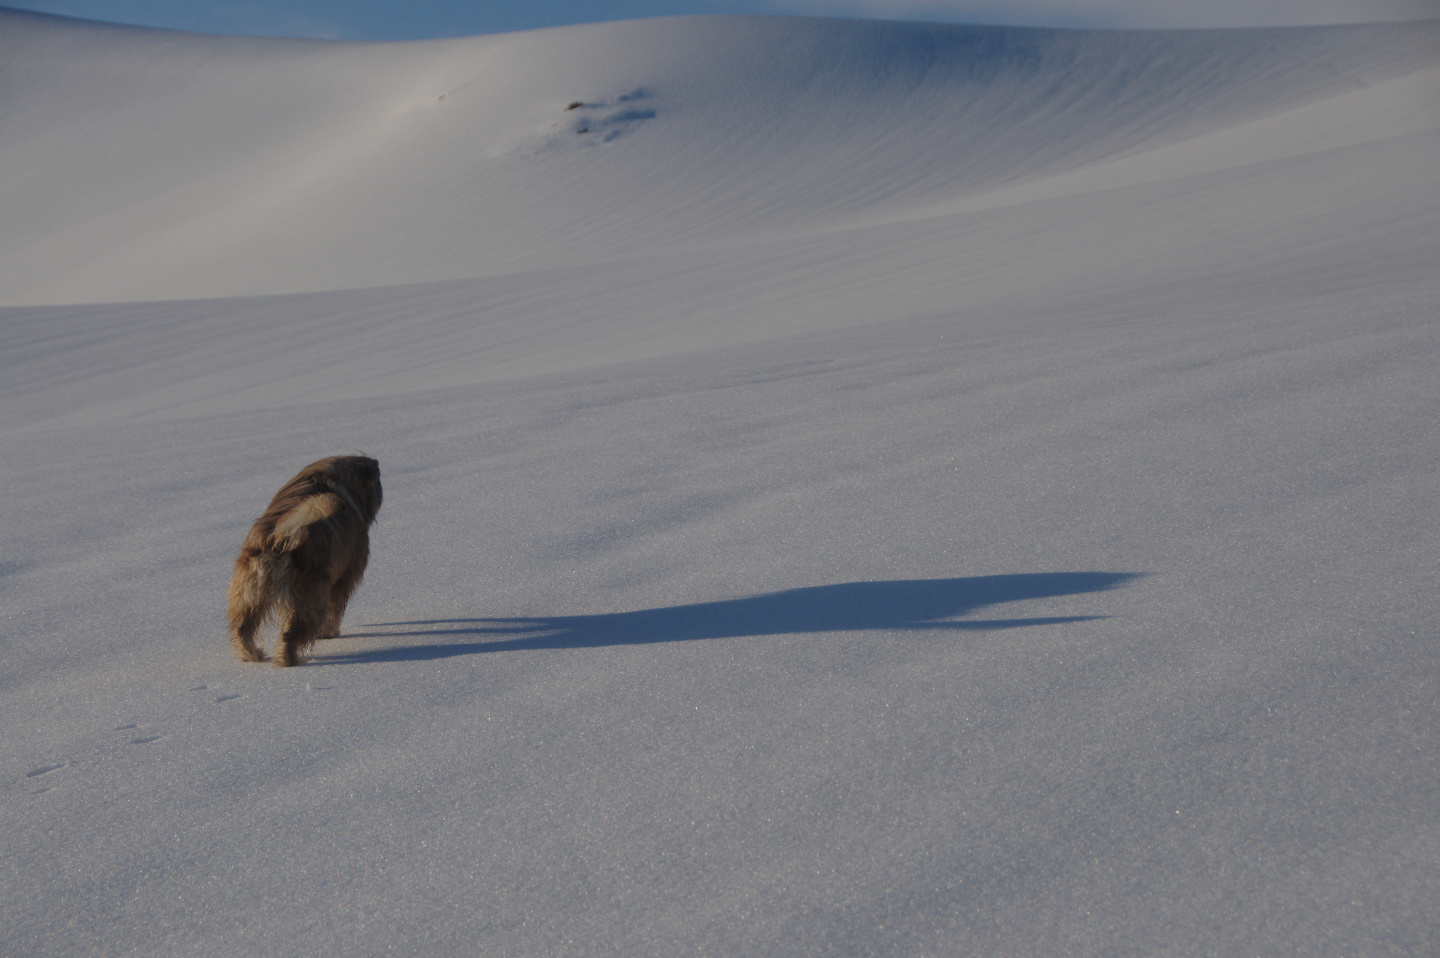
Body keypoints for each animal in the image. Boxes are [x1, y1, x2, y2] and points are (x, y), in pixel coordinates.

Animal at [227, 455, 383, 665]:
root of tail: (279, 538)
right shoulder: (344, 579)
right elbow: (335, 610)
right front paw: (329, 632)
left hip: (248, 596)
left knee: (242, 629)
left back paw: (252, 655)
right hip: (308, 599)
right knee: (290, 635)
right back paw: (290, 660)